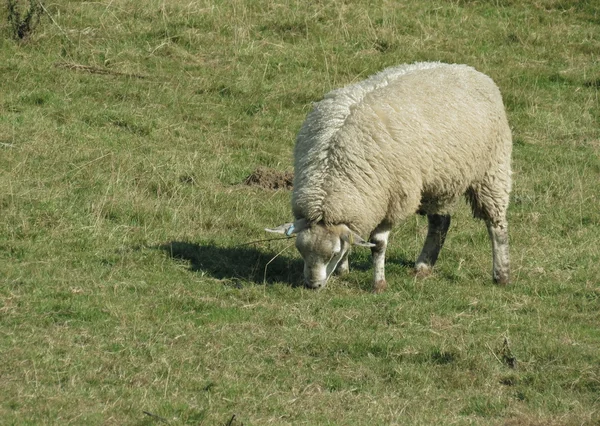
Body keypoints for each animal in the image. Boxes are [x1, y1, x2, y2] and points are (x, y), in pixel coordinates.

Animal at [268, 60, 510, 292]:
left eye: (333, 254)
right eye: (300, 251)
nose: (313, 286)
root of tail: (467, 69)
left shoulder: (391, 201)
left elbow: (377, 245)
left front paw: (378, 284)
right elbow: (353, 237)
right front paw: (343, 271)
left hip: (492, 170)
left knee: (496, 224)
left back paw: (501, 274)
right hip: (440, 180)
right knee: (440, 222)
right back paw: (423, 266)